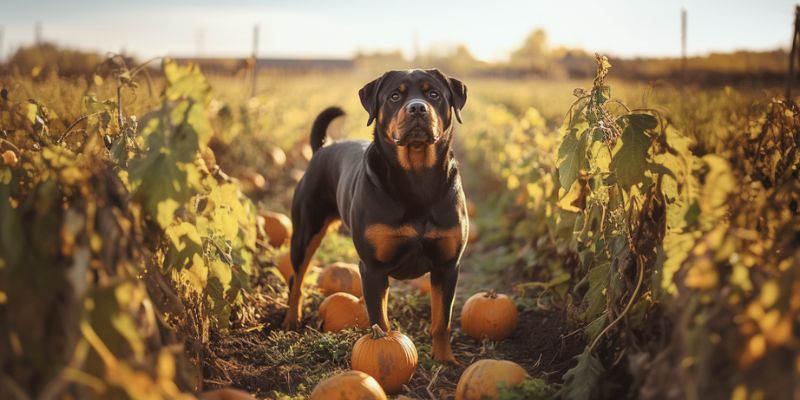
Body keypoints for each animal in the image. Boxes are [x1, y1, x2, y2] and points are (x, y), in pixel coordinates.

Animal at [282, 68, 466, 362]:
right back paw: (291, 319)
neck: (417, 178)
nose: (417, 108)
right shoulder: (373, 268)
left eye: (434, 94)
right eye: (395, 96)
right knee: (296, 277)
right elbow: (380, 319)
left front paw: (445, 359)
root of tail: (323, 147)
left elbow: (442, 321)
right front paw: (384, 344)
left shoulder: (447, 266)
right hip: (305, 232)